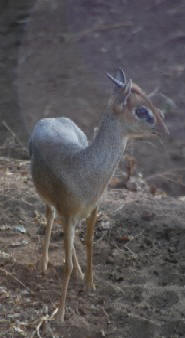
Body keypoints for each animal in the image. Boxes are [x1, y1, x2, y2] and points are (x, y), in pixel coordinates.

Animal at [28, 69, 168, 322]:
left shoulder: (93, 210)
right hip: (50, 203)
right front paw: (60, 314)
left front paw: (89, 284)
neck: (84, 170)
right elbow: (65, 264)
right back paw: (43, 265)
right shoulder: (69, 214)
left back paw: (78, 272)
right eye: (142, 110)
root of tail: (51, 118)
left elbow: (90, 243)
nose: (165, 130)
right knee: (49, 216)